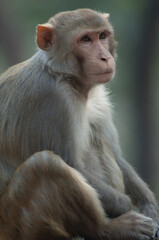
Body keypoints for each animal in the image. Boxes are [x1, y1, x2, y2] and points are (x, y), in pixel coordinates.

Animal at [0, 8, 158, 239]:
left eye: (102, 35)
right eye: (85, 40)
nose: (104, 57)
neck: (65, 77)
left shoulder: (99, 98)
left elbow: (117, 155)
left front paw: (149, 206)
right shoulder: (53, 100)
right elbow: (71, 163)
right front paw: (127, 206)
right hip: (16, 221)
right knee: (45, 163)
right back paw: (108, 229)